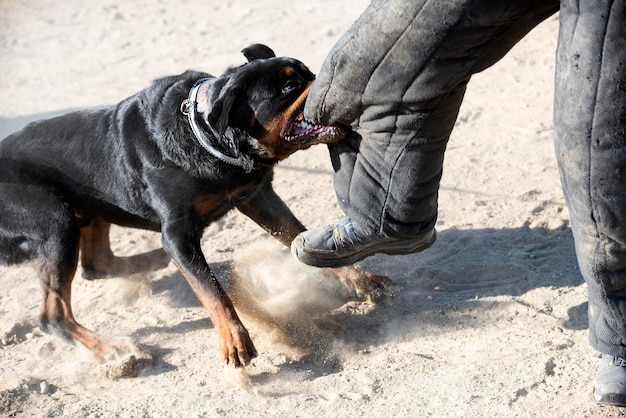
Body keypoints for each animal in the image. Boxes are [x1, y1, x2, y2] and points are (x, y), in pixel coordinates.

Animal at [0, 44, 388, 368]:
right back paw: (114, 349)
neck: (208, 138)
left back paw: (151, 262)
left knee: (97, 264)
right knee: (54, 315)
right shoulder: (178, 233)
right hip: (54, 222)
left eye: (307, 72)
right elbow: (212, 291)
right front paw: (234, 339)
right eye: (289, 87)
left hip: (87, 211)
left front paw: (359, 279)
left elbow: (298, 235)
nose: (331, 82)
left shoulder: (258, 197)